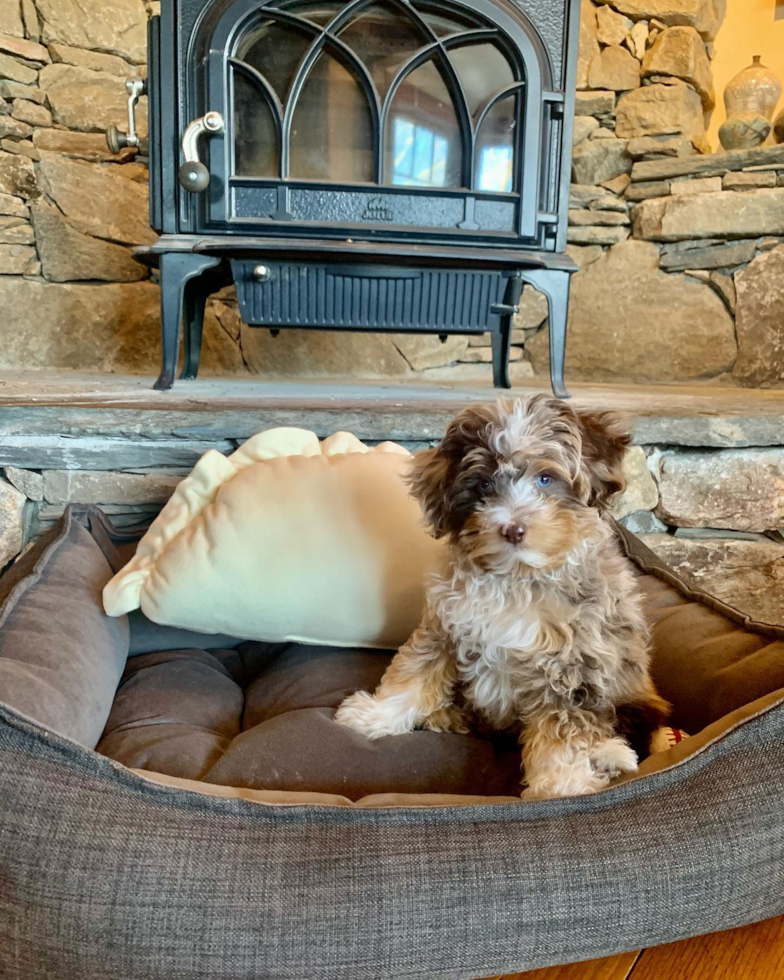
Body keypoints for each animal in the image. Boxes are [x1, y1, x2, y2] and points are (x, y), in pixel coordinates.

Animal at [334, 394, 672, 800]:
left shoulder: (573, 667)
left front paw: (562, 785)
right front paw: (376, 715)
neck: (517, 579)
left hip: (635, 698)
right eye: (482, 485)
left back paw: (611, 756)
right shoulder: (444, 628)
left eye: (546, 478)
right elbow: (414, 674)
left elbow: (563, 730)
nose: (513, 528)